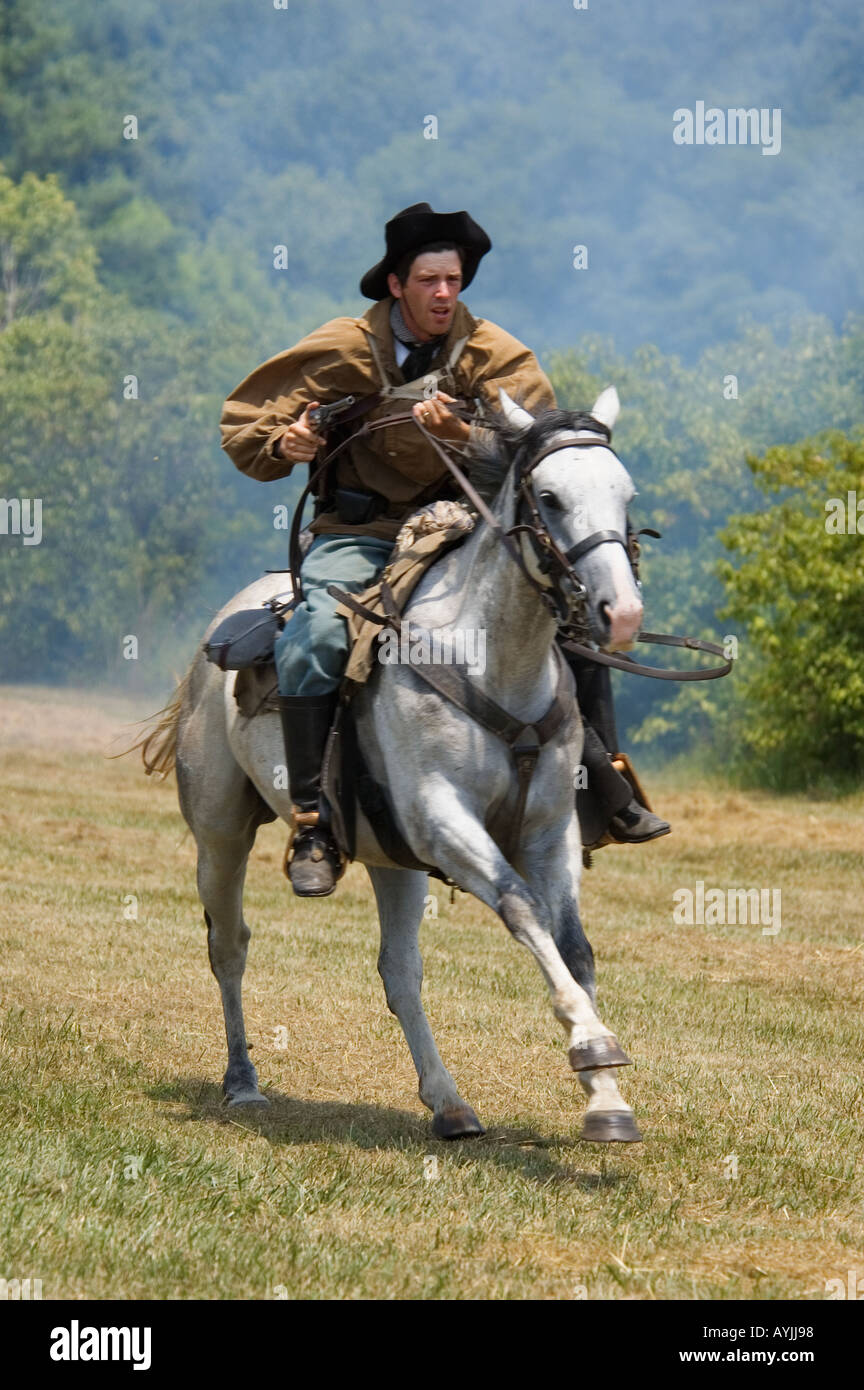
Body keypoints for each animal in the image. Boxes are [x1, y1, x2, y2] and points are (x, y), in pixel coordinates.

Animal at [147, 389, 650, 1139]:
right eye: (551, 497)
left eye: (625, 494)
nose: (621, 613)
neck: (491, 658)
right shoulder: (446, 822)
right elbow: (522, 909)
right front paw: (593, 1046)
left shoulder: (548, 831)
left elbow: (573, 945)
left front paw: (606, 1099)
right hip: (220, 835)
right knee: (229, 945)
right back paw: (242, 1080)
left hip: (391, 860)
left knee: (399, 972)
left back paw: (449, 1103)